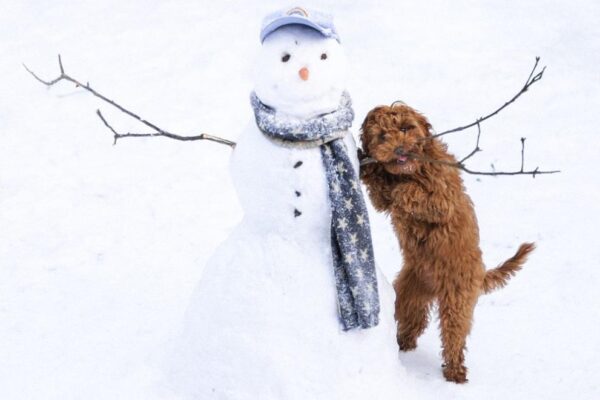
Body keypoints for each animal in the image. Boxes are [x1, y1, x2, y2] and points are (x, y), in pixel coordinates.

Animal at [358, 104, 536, 384]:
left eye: (405, 128)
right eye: (382, 136)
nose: (400, 150)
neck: (413, 170)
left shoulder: (443, 197)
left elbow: (414, 194)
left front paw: (401, 189)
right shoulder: (383, 199)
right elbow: (381, 192)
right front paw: (370, 168)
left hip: (457, 298)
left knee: (454, 335)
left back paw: (455, 371)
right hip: (409, 293)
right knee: (412, 321)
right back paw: (403, 343)